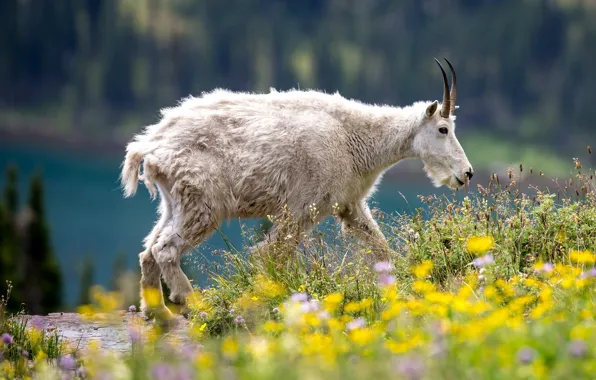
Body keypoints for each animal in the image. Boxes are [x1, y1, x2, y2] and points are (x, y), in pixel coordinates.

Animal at [121, 58, 474, 320]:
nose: (467, 173)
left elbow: (380, 246)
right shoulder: (301, 208)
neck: (356, 138)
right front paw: (271, 295)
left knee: (148, 250)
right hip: (202, 202)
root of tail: (149, 145)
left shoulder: (349, 204)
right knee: (165, 249)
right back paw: (189, 300)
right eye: (443, 129)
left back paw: (157, 312)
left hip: (175, 202)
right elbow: (272, 254)